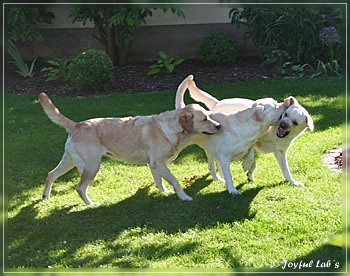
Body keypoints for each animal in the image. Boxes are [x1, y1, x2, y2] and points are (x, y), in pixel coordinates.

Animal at [38, 92, 219, 205]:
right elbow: (175, 181)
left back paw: (45, 197)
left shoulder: (154, 165)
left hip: (69, 161)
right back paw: (91, 204)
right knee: (80, 188)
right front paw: (184, 197)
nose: (218, 126)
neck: (172, 128)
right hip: (91, 166)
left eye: (209, 116)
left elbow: (159, 181)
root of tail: (77, 125)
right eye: (204, 119)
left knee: (51, 174)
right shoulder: (159, 163)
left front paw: (163, 192)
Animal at [175, 75, 314, 188]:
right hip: (211, 149)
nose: (283, 124)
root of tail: (217, 103)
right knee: (214, 163)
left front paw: (293, 182)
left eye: (295, 122)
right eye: (286, 114)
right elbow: (252, 158)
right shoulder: (253, 141)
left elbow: (286, 171)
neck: (274, 134)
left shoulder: (280, 152)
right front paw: (247, 167)